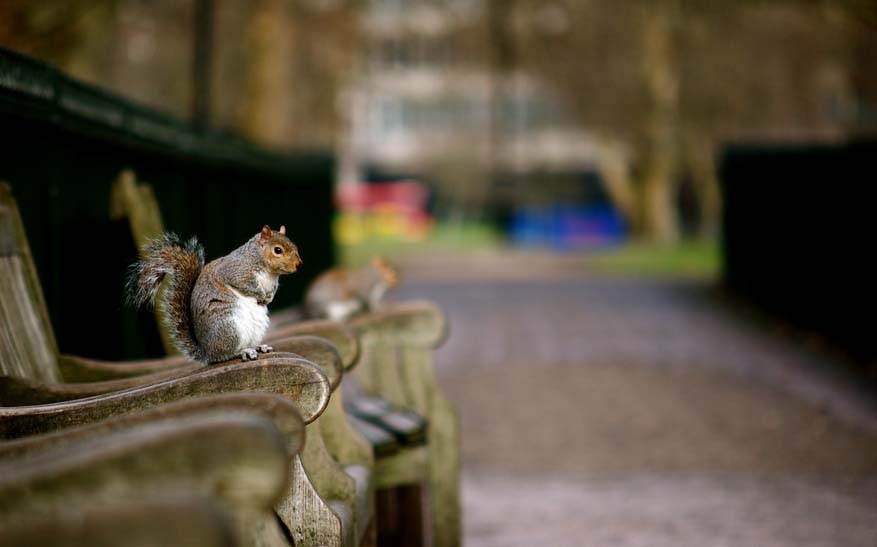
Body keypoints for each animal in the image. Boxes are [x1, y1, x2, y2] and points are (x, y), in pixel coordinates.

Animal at [125, 225, 300, 366]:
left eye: (294, 245)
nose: (299, 264)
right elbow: (246, 285)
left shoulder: (273, 283)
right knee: (223, 355)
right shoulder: (236, 272)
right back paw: (243, 351)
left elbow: (272, 291)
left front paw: (268, 298)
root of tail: (207, 351)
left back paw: (258, 346)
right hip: (228, 325)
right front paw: (261, 295)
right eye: (278, 250)